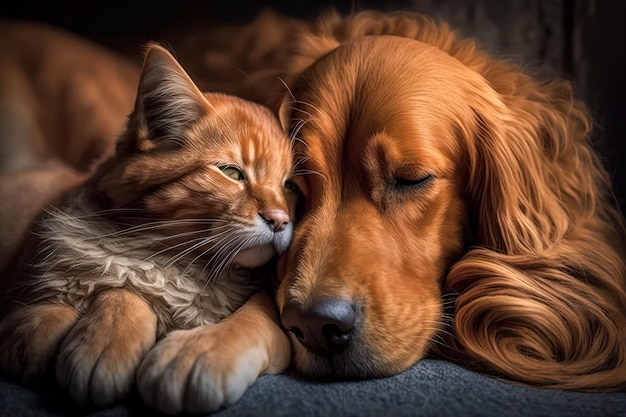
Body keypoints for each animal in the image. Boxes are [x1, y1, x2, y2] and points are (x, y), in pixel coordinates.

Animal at [0, 43, 294, 412]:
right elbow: (117, 289)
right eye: (231, 172)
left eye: (289, 186)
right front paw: (104, 339)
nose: (280, 220)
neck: (178, 263)